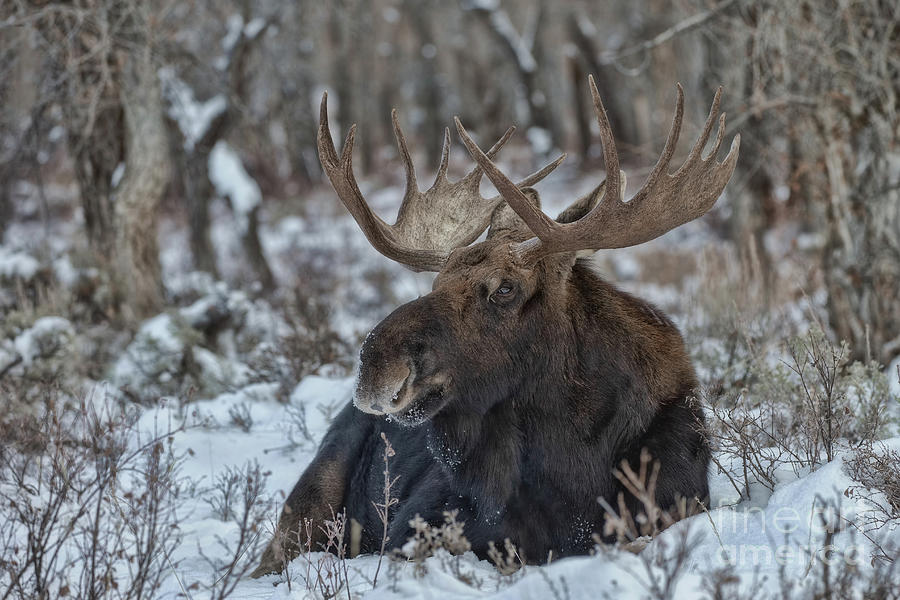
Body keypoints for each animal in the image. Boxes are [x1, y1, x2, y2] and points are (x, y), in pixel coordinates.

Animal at [252, 76, 739, 577]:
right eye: (438, 280)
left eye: (505, 287)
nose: (376, 364)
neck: (572, 465)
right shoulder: (415, 527)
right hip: (307, 506)